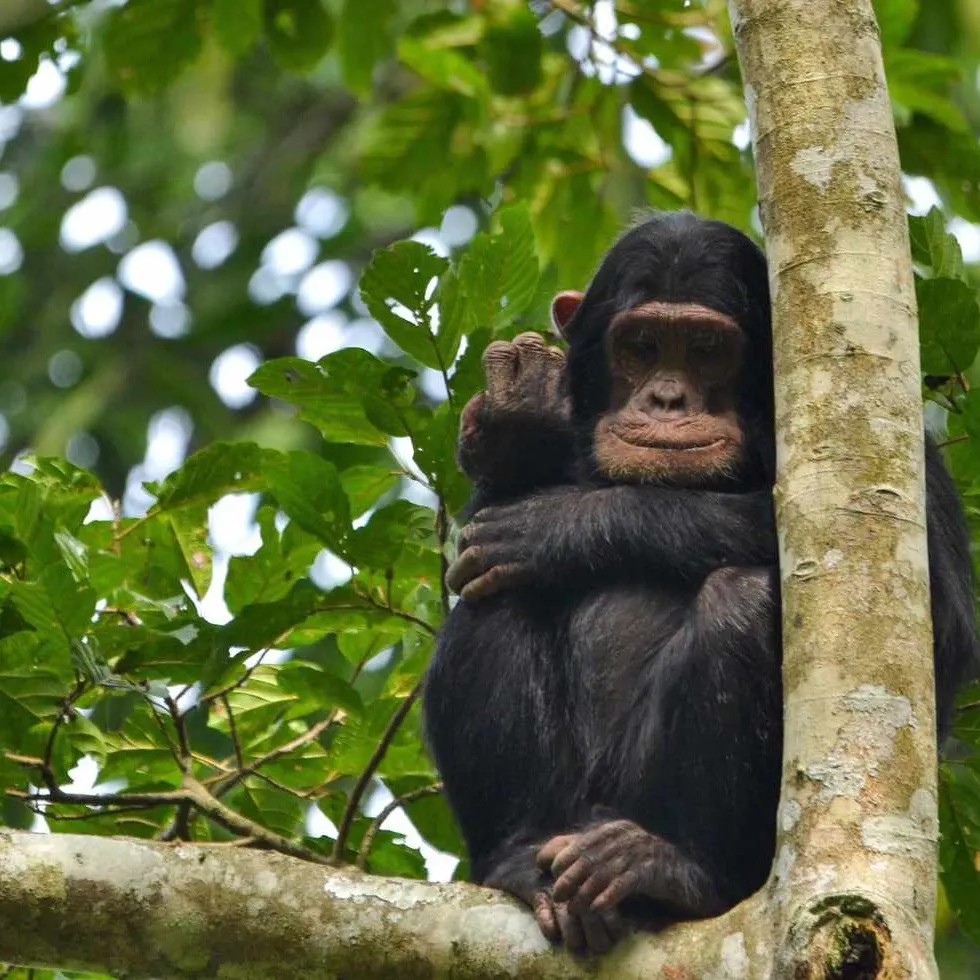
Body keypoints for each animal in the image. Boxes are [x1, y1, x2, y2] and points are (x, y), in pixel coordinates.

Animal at [424, 211, 980, 952]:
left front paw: (561, 525)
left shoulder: (901, 443)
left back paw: (671, 868)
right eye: (642, 345)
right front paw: (520, 421)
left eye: (707, 349)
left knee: (740, 601)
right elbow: (475, 548)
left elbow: (929, 609)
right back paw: (520, 855)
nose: (667, 397)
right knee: (495, 595)